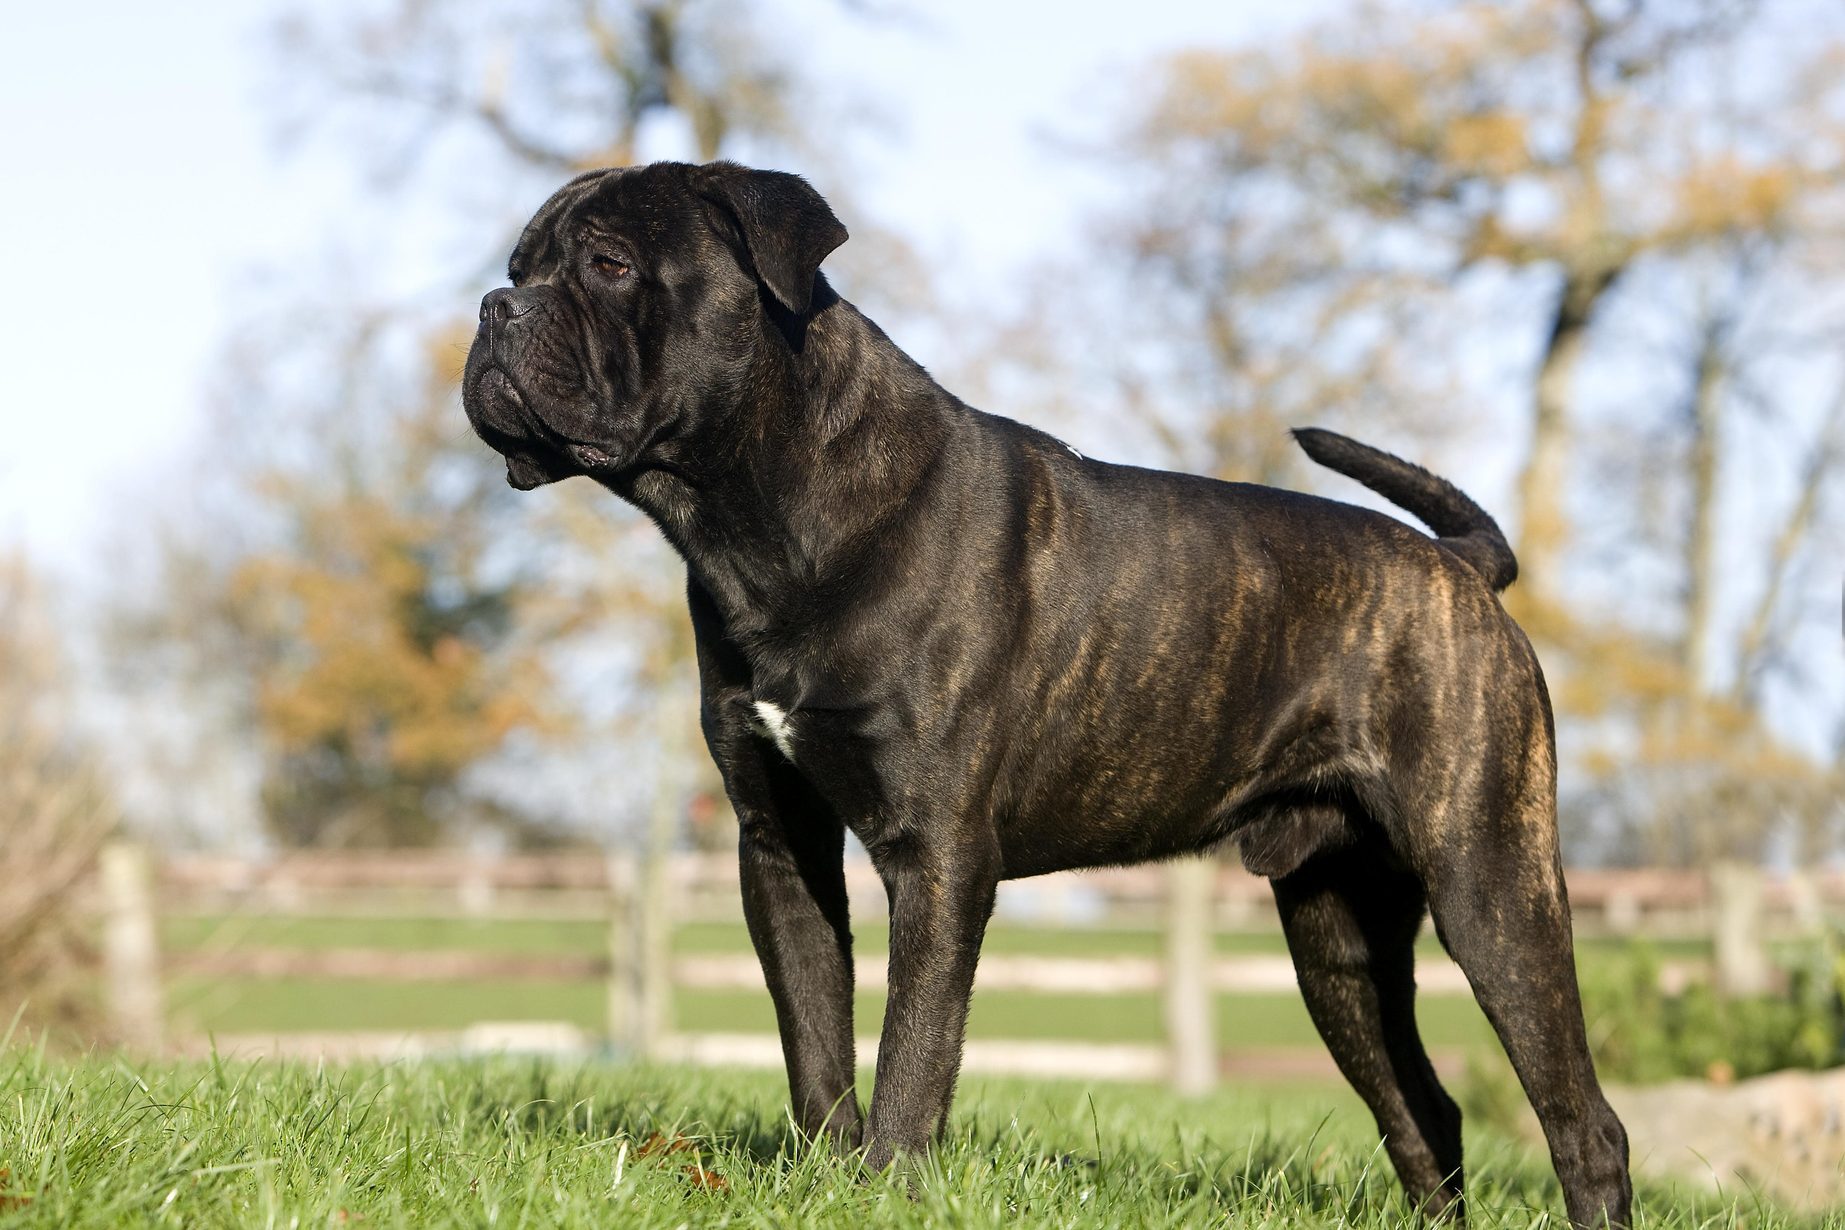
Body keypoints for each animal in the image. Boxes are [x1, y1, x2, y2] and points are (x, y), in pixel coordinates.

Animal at [457, 163, 1630, 1230]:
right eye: (518, 266)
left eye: (608, 266)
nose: (493, 307)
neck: (763, 514)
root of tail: (1461, 567)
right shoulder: (779, 844)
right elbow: (815, 1036)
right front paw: (827, 1176)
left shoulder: (936, 855)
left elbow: (914, 1053)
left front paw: (886, 1188)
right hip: (1338, 938)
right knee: (1422, 1113)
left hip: (1490, 887)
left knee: (1584, 1122)